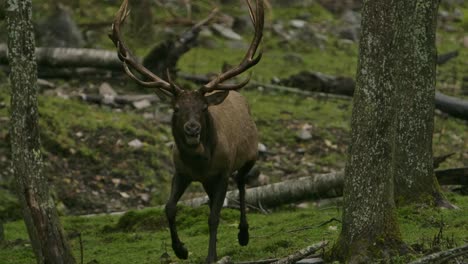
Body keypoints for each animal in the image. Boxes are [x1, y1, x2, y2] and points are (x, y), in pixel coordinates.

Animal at [109, 0, 264, 262]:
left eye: (203, 108)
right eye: (176, 108)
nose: (192, 129)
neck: (200, 163)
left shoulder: (222, 172)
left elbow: (213, 217)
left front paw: (211, 256)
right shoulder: (181, 172)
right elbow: (169, 208)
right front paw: (180, 250)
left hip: (249, 156)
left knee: (242, 184)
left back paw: (244, 234)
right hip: (209, 181)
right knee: (217, 197)